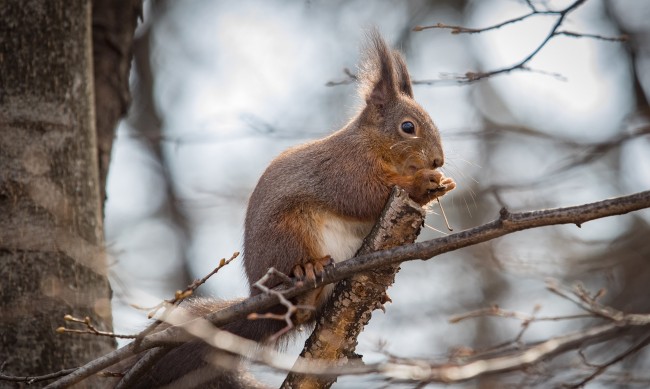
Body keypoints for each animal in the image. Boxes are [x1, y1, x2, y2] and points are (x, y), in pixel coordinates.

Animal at [124, 30, 454, 388]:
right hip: (290, 233)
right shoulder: (344, 170)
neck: (372, 144)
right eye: (408, 127)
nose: (438, 160)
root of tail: (259, 296)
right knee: (299, 300)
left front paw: (440, 184)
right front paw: (422, 183)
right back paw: (307, 272)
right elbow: (363, 196)